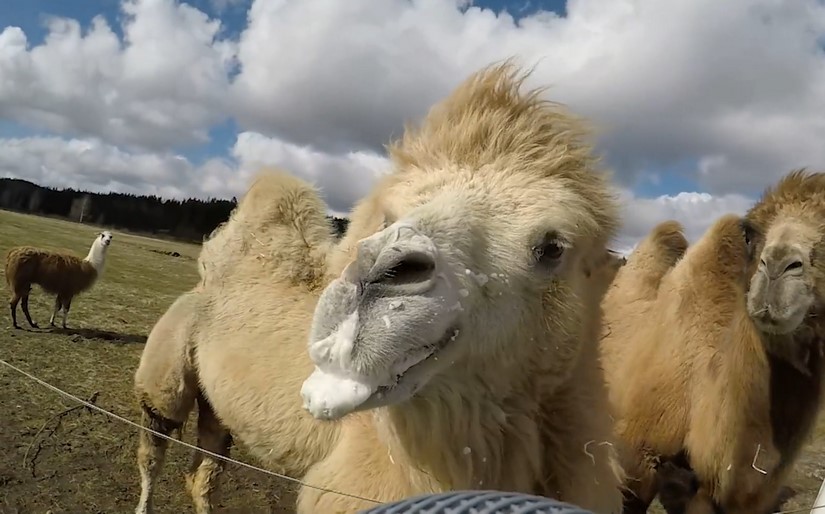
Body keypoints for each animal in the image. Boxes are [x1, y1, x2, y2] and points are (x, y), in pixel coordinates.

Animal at [134, 61, 626, 514]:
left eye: (553, 247)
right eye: (388, 217)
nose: (377, 271)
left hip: (218, 408)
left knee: (204, 471)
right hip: (163, 380)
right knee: (155, 448)